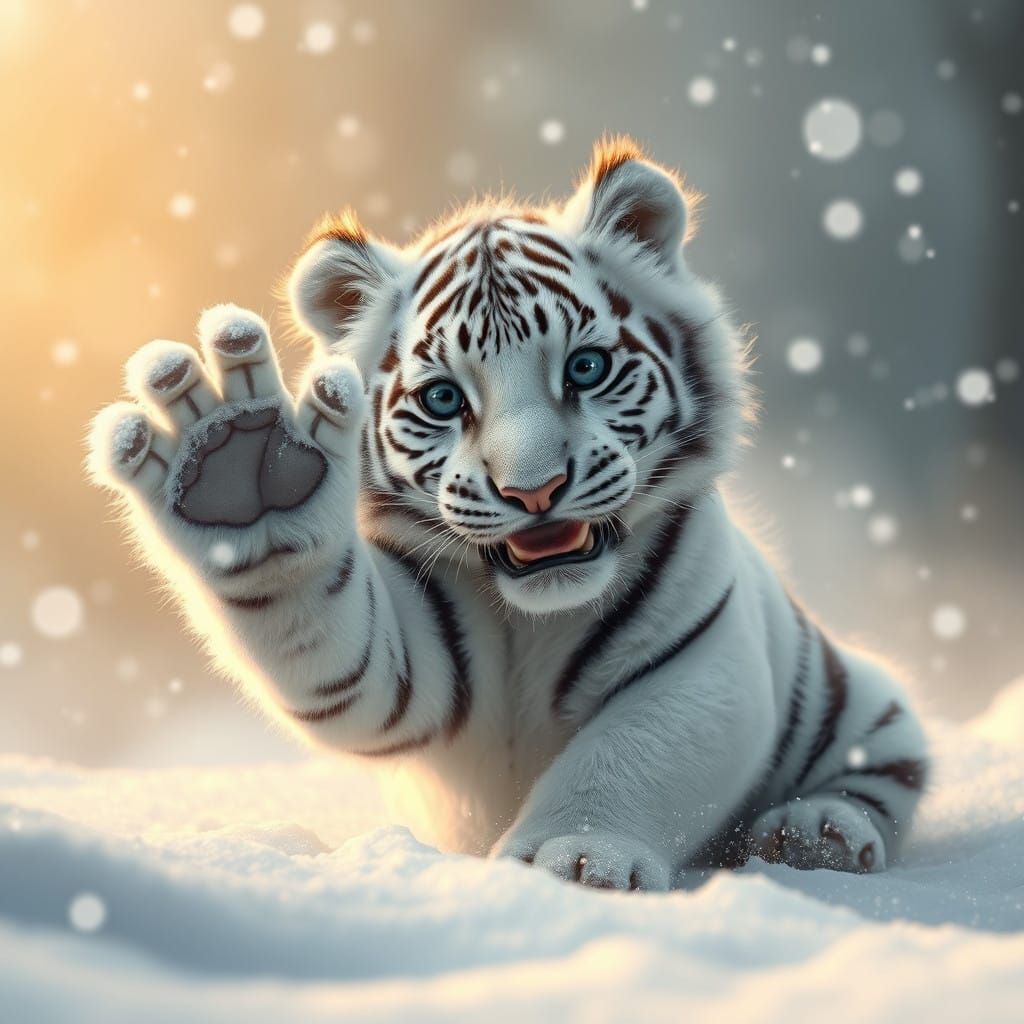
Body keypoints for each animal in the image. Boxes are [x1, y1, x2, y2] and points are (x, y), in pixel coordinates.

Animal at [87, 137, 928, 890]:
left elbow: (628, 752)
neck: (538, 615)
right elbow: (325, 633)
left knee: (882, 775)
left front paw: (574, 859)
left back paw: (816, 832)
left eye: (585, 367)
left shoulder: (700, 658)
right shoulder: (410, 664)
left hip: (866, 701)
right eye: (443, 398)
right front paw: (242, 466)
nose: (534, 490)